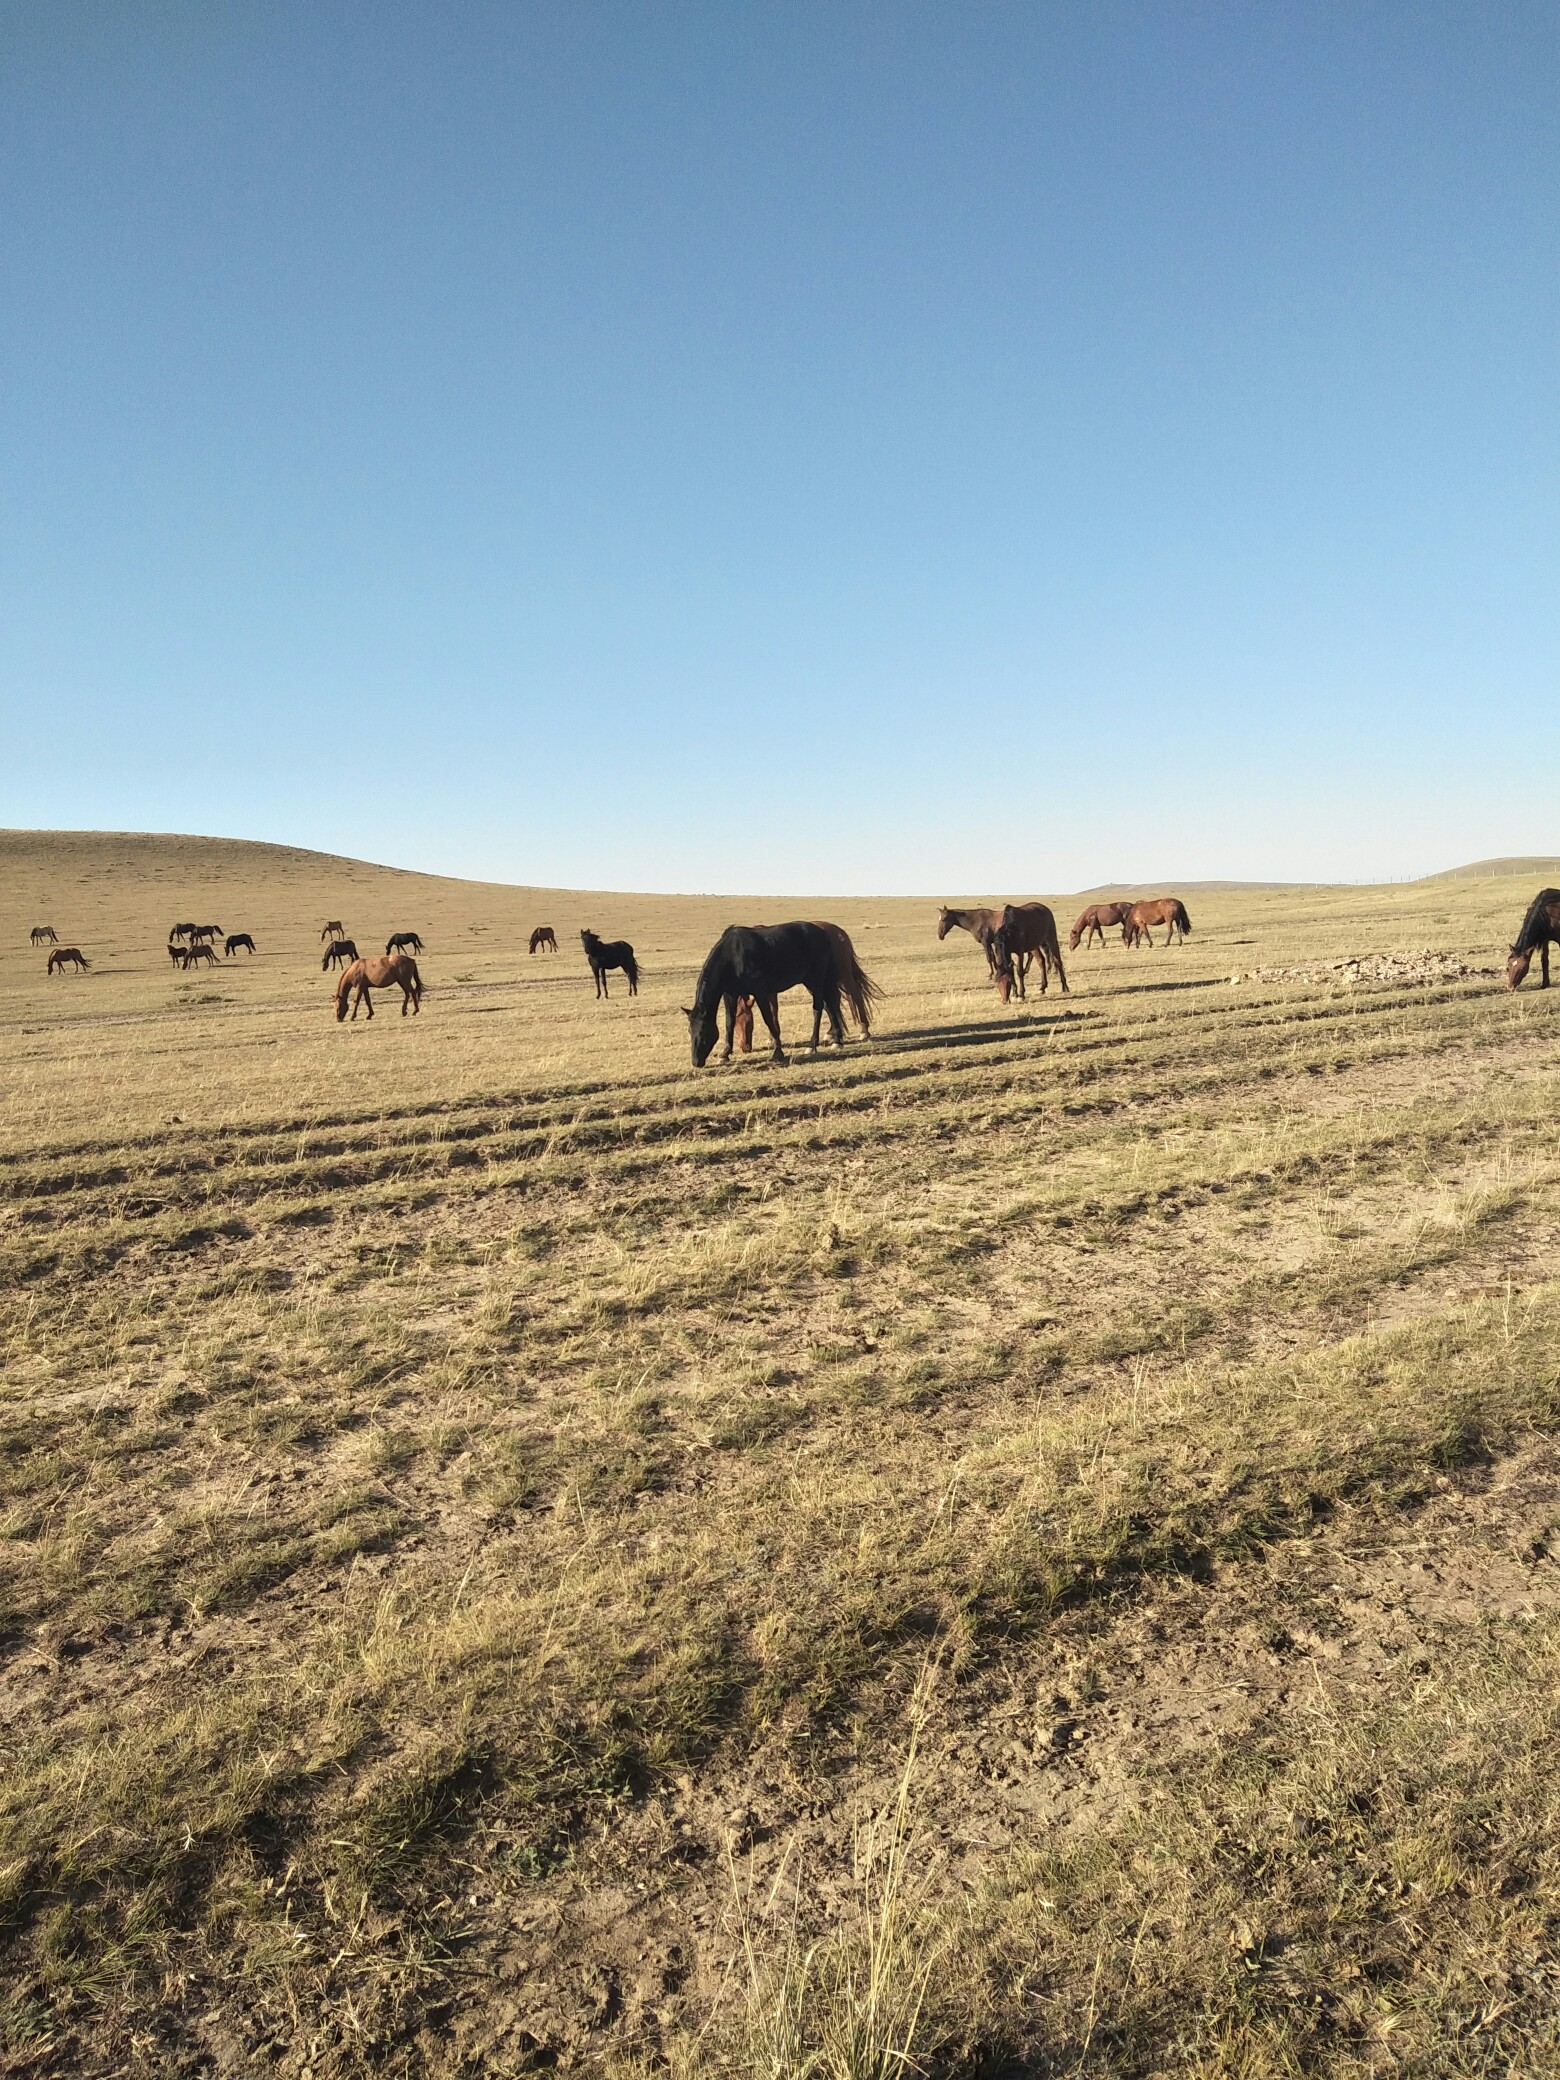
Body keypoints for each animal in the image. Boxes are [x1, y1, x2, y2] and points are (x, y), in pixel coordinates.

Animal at [690, 919, 886, 1064]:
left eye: (703, 1032)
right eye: (690, 1032)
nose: (696, 1061)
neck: (733, 955)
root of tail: (829, 933)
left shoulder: (762, 992)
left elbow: (769, 1018)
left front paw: (777, 1051)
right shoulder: (730, 994)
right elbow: (729, 1022)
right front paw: (725, 1053)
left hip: (822, 979)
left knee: (827, 1005)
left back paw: (817, 1043)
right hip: (816, 981)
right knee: (831, 1004)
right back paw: (836, 1039)